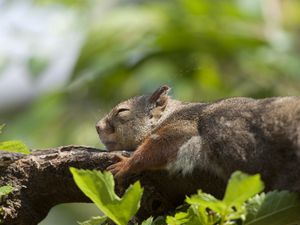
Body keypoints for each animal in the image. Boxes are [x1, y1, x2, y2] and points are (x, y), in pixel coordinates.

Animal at [96, 85, 300, 192]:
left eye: (122, 111)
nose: (97, 127)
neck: (169, 115)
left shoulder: (183, 127)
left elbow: (160, 147)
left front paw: (126, 164)